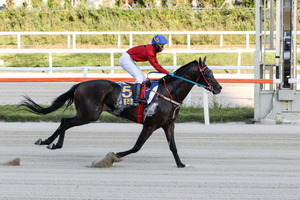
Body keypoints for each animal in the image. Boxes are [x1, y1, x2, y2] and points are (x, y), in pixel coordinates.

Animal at [20, 57, 220, 168]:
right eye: (208, 74)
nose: (218, 88)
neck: (168, 93)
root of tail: (80, 84)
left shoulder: (168, 124)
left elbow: (173, 147)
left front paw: (181, 164)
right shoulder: (150, 124)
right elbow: (137, 146)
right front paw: (114, 156)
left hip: (87, 114)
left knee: (63, 122)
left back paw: (46, 141)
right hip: (89, 114)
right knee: (65, 122)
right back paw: (54, 144)